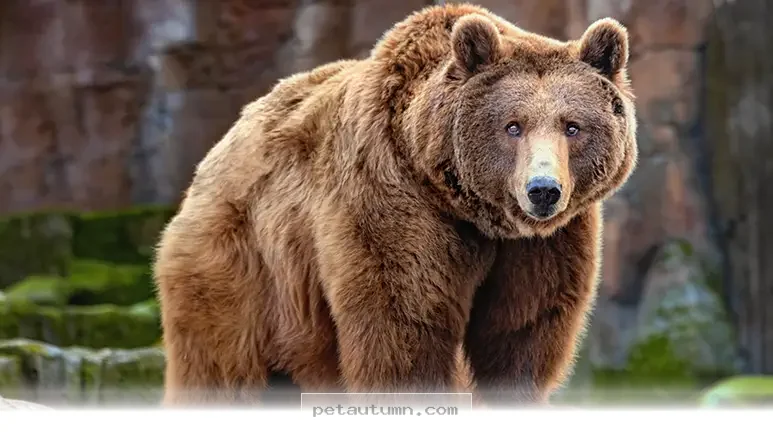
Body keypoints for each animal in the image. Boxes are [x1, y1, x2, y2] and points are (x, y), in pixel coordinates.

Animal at [153, 2, 638, 407]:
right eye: (512, 126)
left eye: (572, 126)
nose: (543, 190)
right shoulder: (391, 204)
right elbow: (404, 327)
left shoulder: (542, 246)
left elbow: (520, 334)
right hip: (241, 267)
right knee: (220, 365)